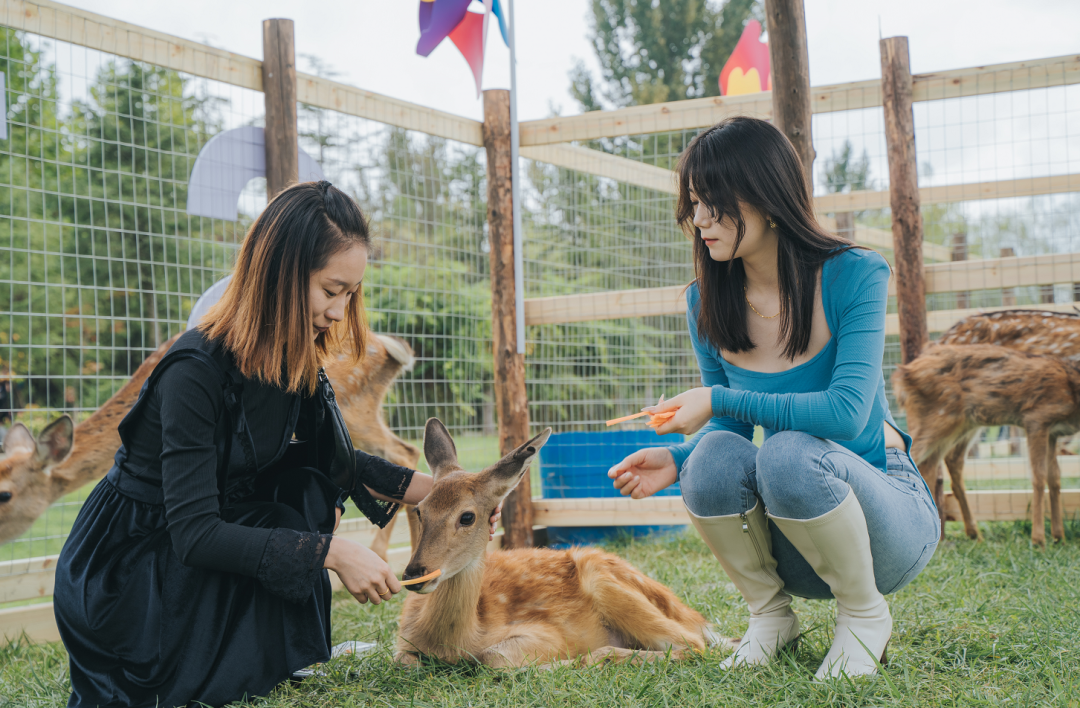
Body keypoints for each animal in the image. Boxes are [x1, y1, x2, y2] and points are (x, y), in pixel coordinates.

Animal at [393, 416, 721, 664]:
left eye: (466, 517)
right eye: (420, 510)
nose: (414, 574)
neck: (459, 638)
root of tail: (692, 615)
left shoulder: (546, 633)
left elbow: (493, 657)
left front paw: (566, 661)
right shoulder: (403, 642)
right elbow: (403, 660)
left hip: (608, 585)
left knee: (693, 644)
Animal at [889, 345, 1075, 543]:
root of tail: (903, 374)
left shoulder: (1053, 433)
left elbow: (1054, 477)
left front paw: (1059, 537)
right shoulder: (1036, 419)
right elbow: (1039, 476)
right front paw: (1039, 540)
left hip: (963, 424)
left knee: (935, 464)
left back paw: (969, 535)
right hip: (939, 418)